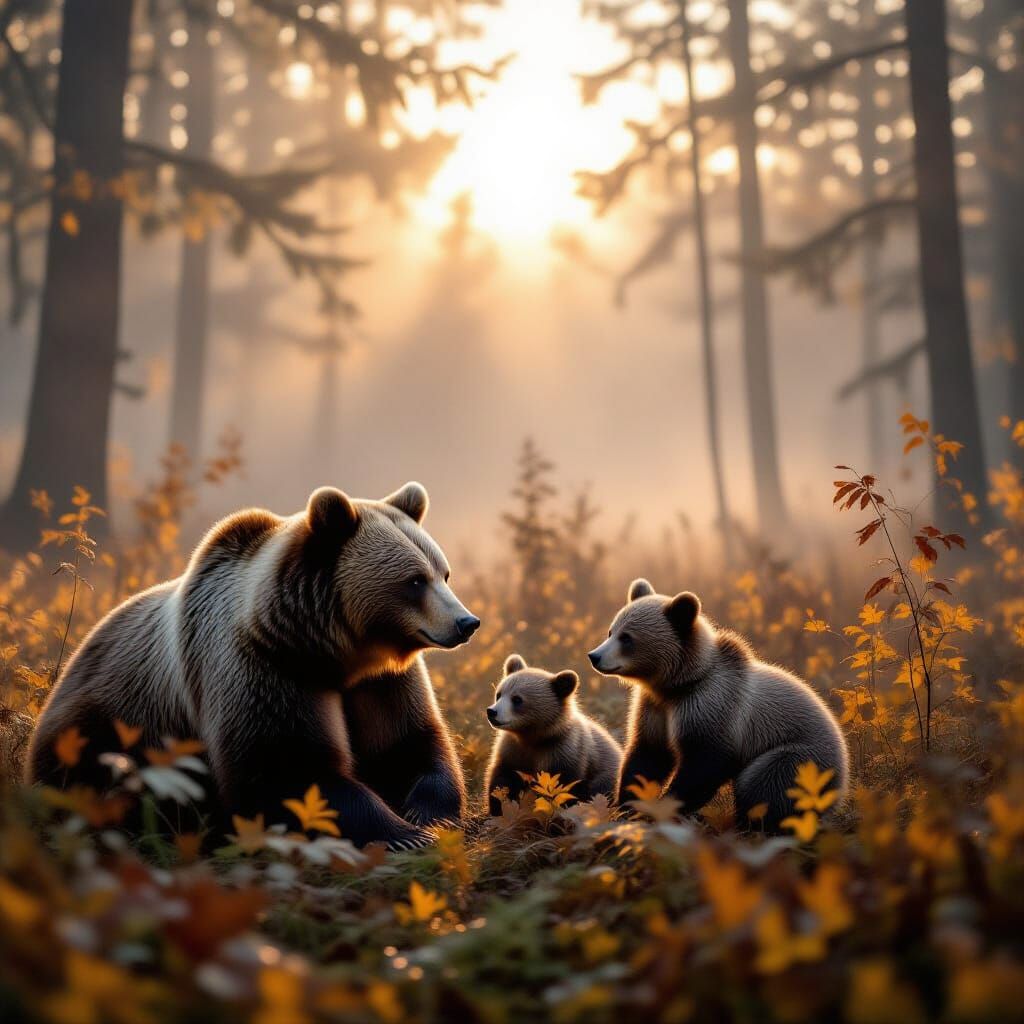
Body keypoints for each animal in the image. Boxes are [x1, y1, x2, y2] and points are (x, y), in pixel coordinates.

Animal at [27, 482, 477, 848]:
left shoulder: (381, 681)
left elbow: (410, 742)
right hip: (109, 727)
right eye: (415, 581)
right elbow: (288, 768)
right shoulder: (262, 665)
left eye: (444, 574)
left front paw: (429, 816)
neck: (331, 650)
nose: (466, 622)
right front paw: (405, 834)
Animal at [483, 654, 622, 815]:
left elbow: (560, 786)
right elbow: (502, 778)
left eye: (517, 699)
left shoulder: (562, 751)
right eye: (499, 694)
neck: (532, 735)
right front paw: (498, 807)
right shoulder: (512, 749)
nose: (491, 712)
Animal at [588, 578, 849, 834]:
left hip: (800, 757)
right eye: (611, 631)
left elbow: (704, 764)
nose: (594, 656)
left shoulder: (712, 704)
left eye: (626, 638)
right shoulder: (655, 709)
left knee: (766, 785)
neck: (676, 685)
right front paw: (626, 809)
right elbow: (647, 757)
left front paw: (663, 810)